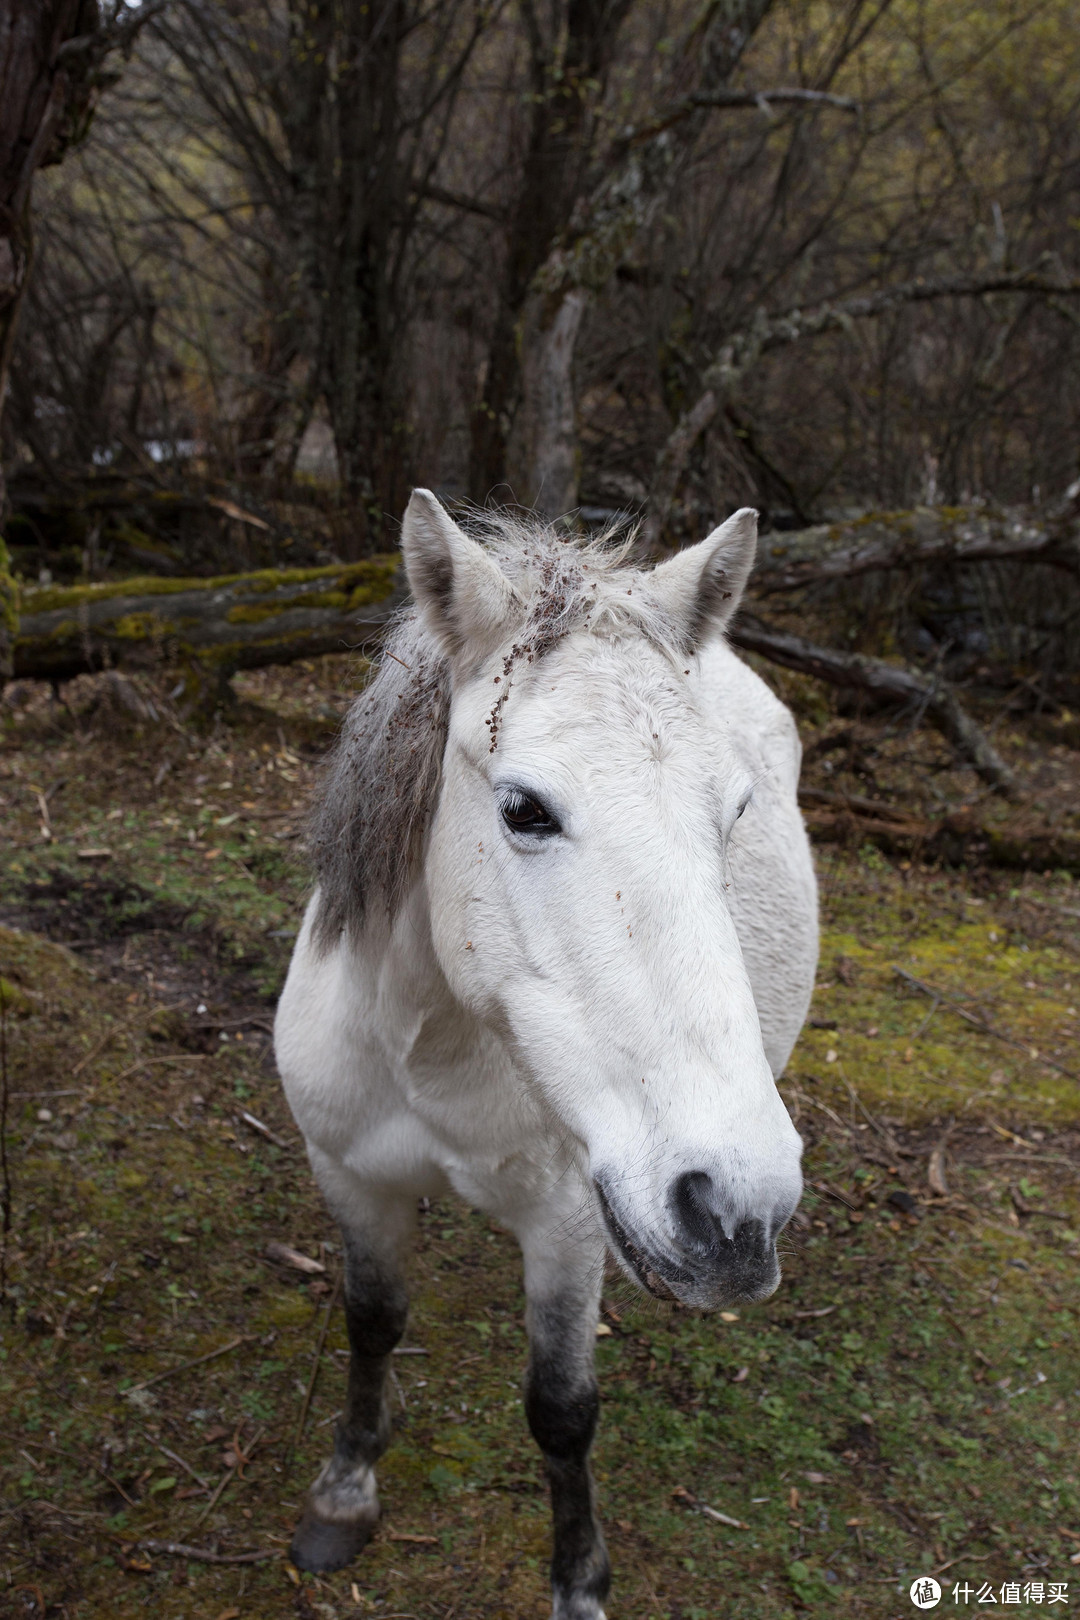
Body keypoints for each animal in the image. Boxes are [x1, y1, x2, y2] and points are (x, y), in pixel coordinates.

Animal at [275, 492, 816, 1620]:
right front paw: (344, 1490)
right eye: (523, 809)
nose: (737, 1211)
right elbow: (371, 1320)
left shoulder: (569, 1226)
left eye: (736, 812)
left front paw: (579, 1583)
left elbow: (562, 1410)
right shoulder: (347, 1175)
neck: (430, 1051)